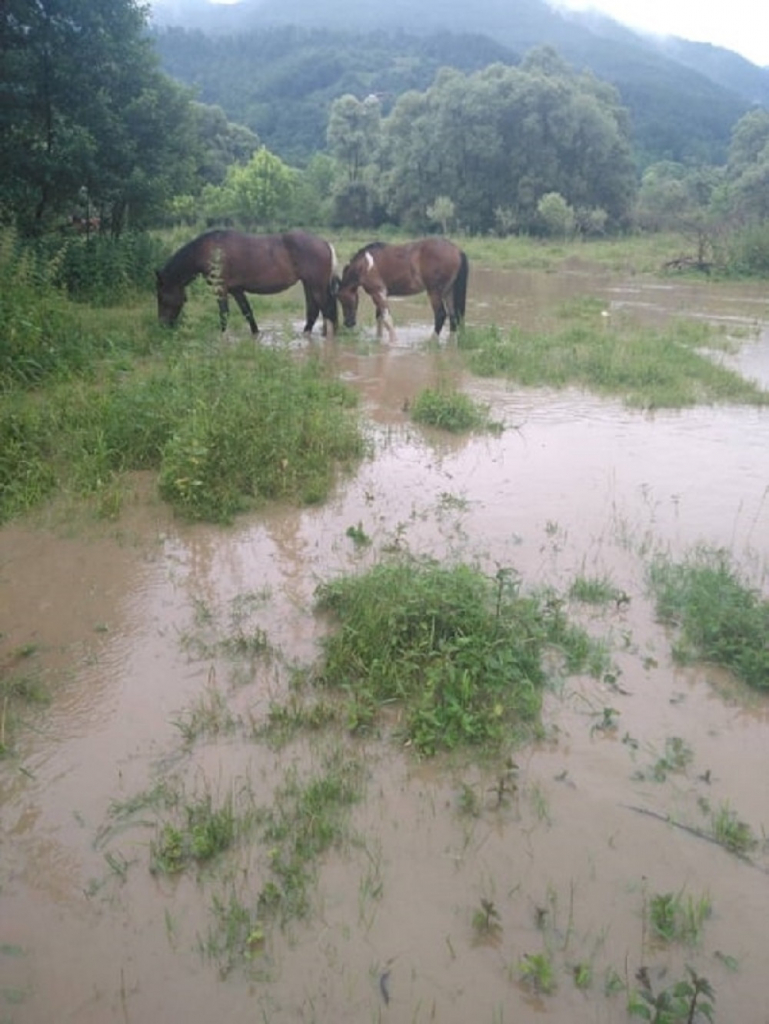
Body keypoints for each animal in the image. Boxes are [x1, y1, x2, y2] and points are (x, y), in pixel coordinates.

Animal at [154, 229, 337, 335]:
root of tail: (324, 243)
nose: (162, 325)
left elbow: (224, 314)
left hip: (316, 286)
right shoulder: (236, 290)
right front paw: (256, 334)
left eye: (161, 297)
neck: (210, 250)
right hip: (309, 285)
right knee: (314, 311)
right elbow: (247, 312)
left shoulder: (220, 289)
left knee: (326, 311)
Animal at [335, 236, 468, 344]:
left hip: (435, 292)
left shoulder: (377, 293)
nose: (348, 323)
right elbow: (380, 318)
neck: (365, 265)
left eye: (342, 299)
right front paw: (379, 339)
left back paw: (431, 342)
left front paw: (394, 341)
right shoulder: (380, 295)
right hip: (448, 292)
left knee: (441, 315)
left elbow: (386, 319)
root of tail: (457, 250)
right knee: (453, 317)